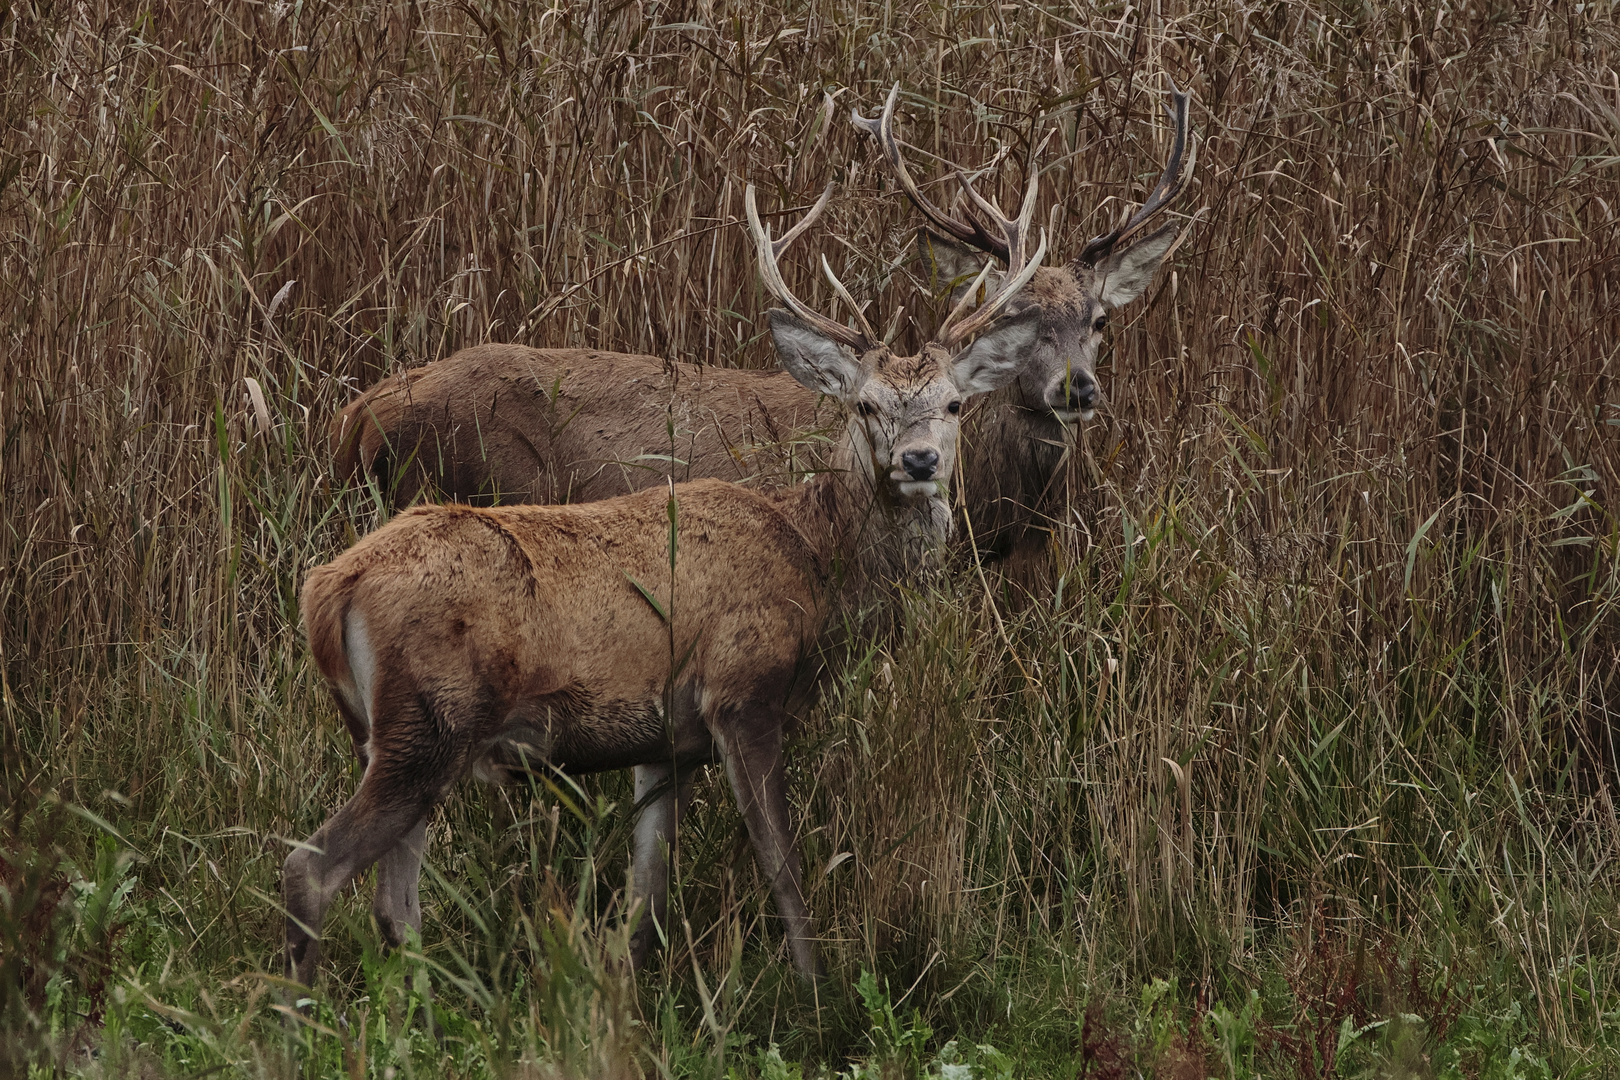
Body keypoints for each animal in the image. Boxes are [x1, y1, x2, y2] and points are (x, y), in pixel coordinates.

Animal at [283, 187, 1043, 990]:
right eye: (865, 405)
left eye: (955, 404)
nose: (919, 460)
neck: (813, 564)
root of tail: (329, 588)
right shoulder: (742, 690)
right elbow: (783, 867)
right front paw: (813, 989)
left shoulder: (664, 741)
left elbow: (645, 896)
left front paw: (625, 988)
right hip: (429, 723)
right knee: (313, 868)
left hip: (398, 736)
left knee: (395, 905)